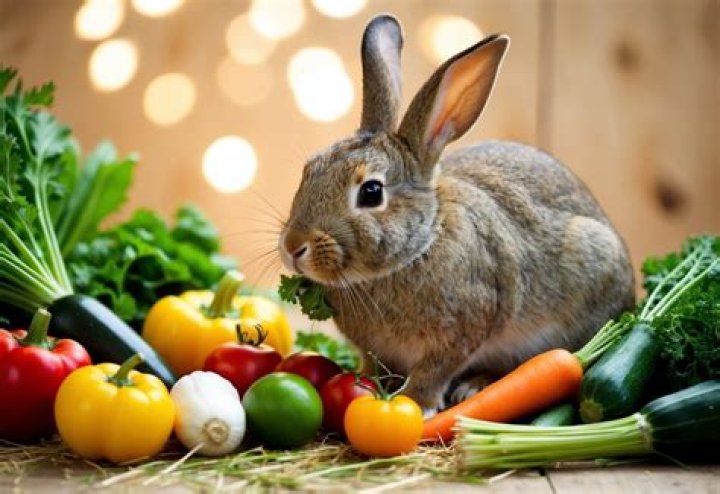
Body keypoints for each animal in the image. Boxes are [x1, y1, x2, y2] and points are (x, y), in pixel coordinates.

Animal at [278, 14, 635, 414]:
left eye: (371, 192)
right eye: (310, 169)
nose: (293, 247)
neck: (418, 247)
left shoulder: (464, 329)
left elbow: (435, 370)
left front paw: (416, 401)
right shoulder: (376, 349)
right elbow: (374, 365)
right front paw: (366, 383)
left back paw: (473, 387)